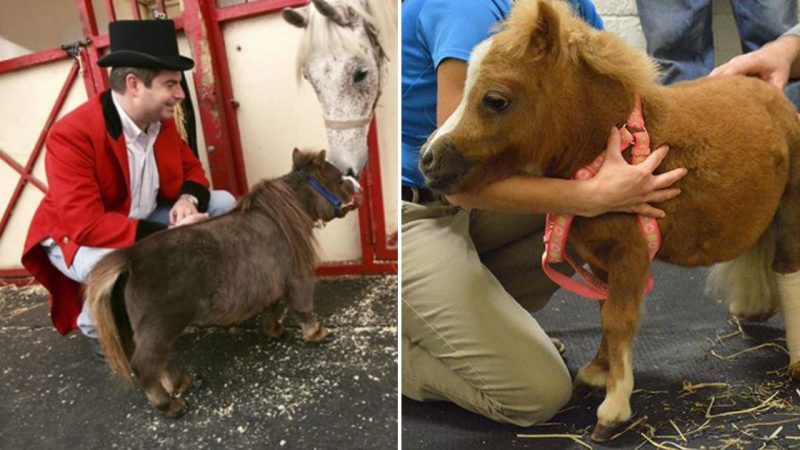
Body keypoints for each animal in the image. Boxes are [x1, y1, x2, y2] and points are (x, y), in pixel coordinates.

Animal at [85, 149, 356, 418]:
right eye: (338, 180)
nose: (355, 189)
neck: (287, 213)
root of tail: (132, 257)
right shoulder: (299, 277)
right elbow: (303, 308)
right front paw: (317, 333)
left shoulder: (268, 283)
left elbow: (270, 308)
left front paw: (274, 330)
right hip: (160, 324)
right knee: (146, 364)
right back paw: (170, 405)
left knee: (162, 359)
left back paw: (182, 382)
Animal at [418, 0, 800, 442]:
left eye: (495, 100)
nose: (428, 161)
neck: (614, 146)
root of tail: (776, 99)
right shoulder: (597, 257)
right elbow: (604, 312)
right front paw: (598, 371)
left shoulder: (631, 255)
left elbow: (620, 320)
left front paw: (613, 408)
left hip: (790, 212)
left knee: (787, 270)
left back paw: (796, 363)